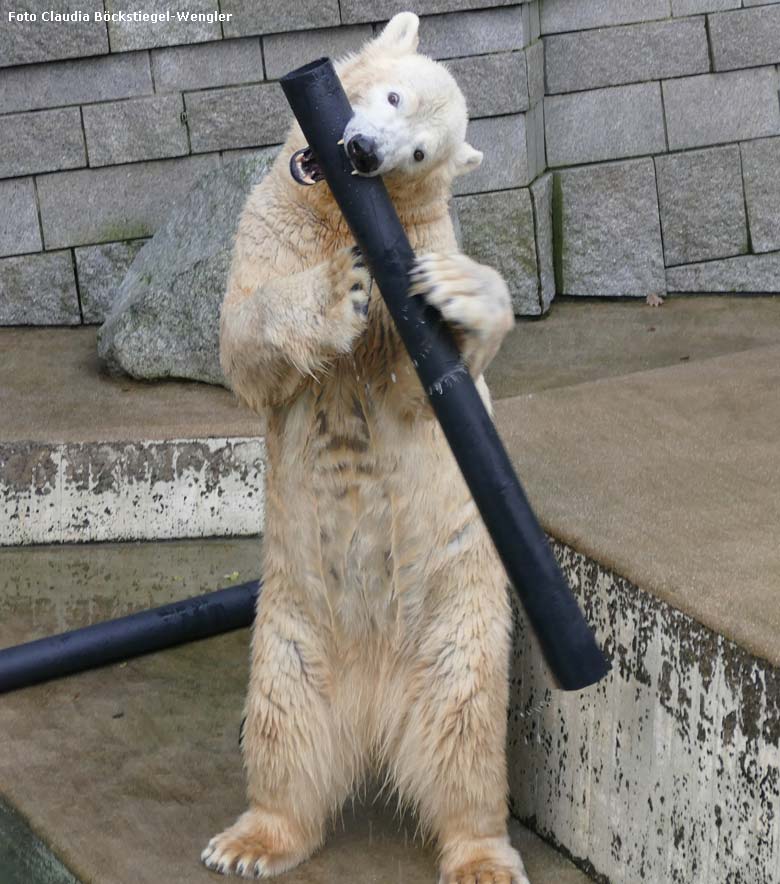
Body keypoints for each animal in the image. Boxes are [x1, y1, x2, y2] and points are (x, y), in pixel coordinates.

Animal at [204, 13, 528, 884]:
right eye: (389, 95)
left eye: (420, 153)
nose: (368, 152)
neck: (341, 214)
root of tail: (375, 708)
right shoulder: (271, 221)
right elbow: (244, 337)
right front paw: (336, 288)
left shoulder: (414, 250)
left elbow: (422, 388)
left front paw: (462, 293)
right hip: (289, 632)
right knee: (283, 732)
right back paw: (251, 840)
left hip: (459, 620)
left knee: (464, 736)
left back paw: (481, 855)